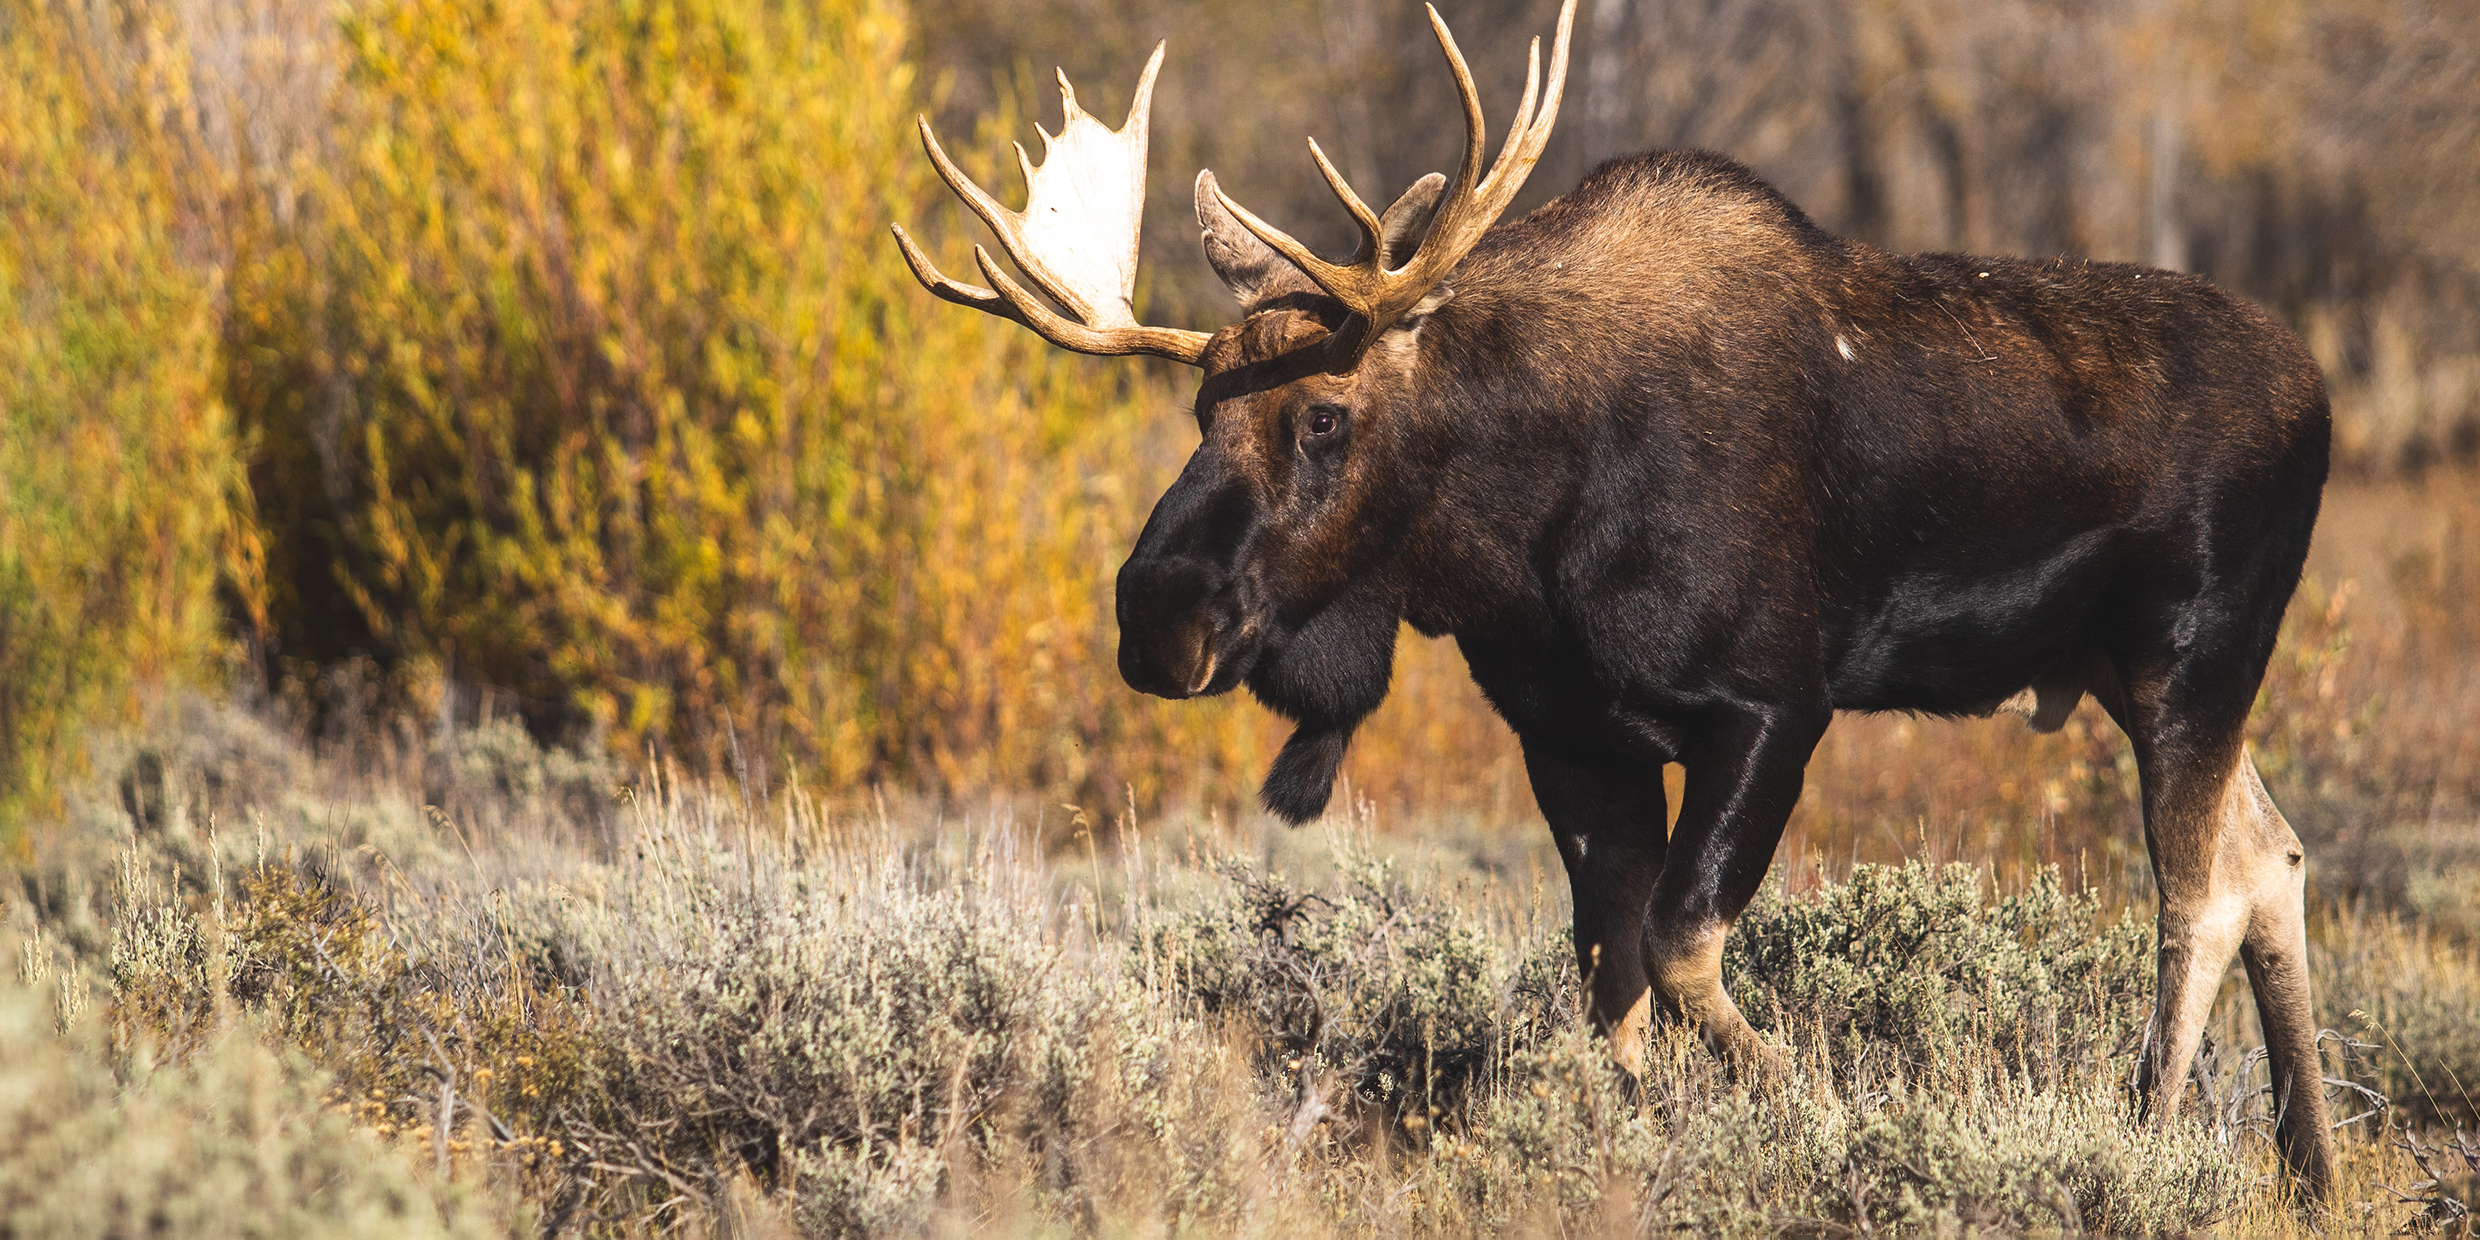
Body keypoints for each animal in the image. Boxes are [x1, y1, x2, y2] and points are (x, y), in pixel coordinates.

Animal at [902, 0, 2331, 1205]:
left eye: (1323, 414)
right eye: (1201, 408)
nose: (1156, 615)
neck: (1519, 538)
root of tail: (2319, 396)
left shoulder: (1770, 702)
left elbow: (1680, 943)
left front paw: (1814, 1114)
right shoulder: (1569, 733)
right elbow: (1611, 973)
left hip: (2192, 652)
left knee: (2196, 892)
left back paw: (2144, 1138)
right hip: (2125, 671)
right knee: (2270, 854)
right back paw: (2308, 1168)